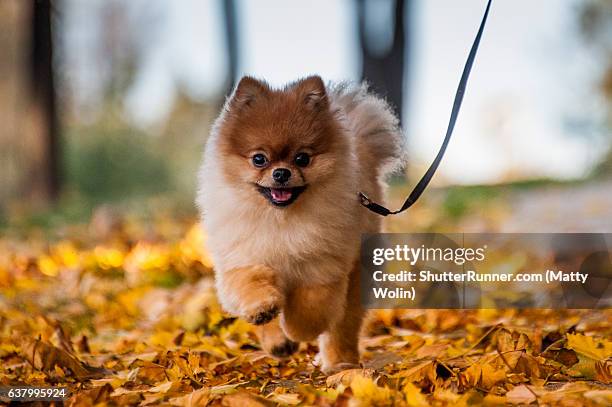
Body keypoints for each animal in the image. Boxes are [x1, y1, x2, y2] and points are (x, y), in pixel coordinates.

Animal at [198, 75, 404, 374]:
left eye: (302, 158)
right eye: (259, 159)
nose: (281, 173)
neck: (281, 220)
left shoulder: (321, 269)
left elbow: (310, 310)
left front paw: (297, 330)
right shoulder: (244, 258)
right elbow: (252, 285)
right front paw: (263, 310)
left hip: (356, 277)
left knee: (343, 325)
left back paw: (340, 363)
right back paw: (278, 342)